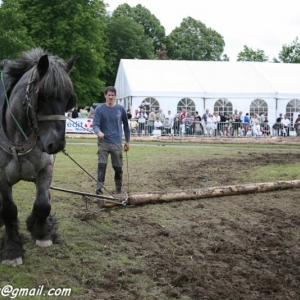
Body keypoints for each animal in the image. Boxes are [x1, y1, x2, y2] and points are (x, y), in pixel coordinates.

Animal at [0, 47, 76, 264]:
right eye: (41, 96)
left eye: (69, 99)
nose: (56, 144)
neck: (19, 141)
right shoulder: (1, 178)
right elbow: (9, 211)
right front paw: (12, 250)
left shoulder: (45, 169)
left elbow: (43, 204)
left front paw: (41, 231)